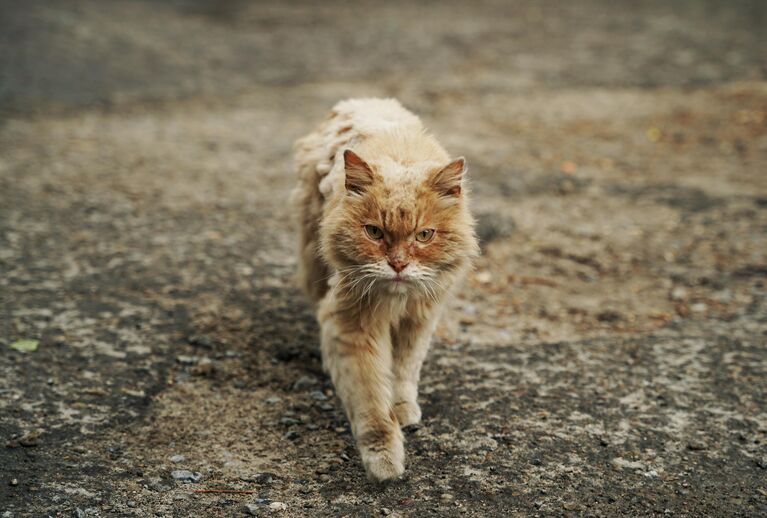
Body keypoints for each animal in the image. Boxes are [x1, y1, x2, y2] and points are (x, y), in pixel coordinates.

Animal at [292, 98, 476, 484]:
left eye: (424, 235)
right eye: (374, 232)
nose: (398, 264)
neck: (396, 301)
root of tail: (359, 101)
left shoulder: (419, 318)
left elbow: (405, 371)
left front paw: (403, 407)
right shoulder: (353, 326)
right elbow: (371, 402)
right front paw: (384, 462)